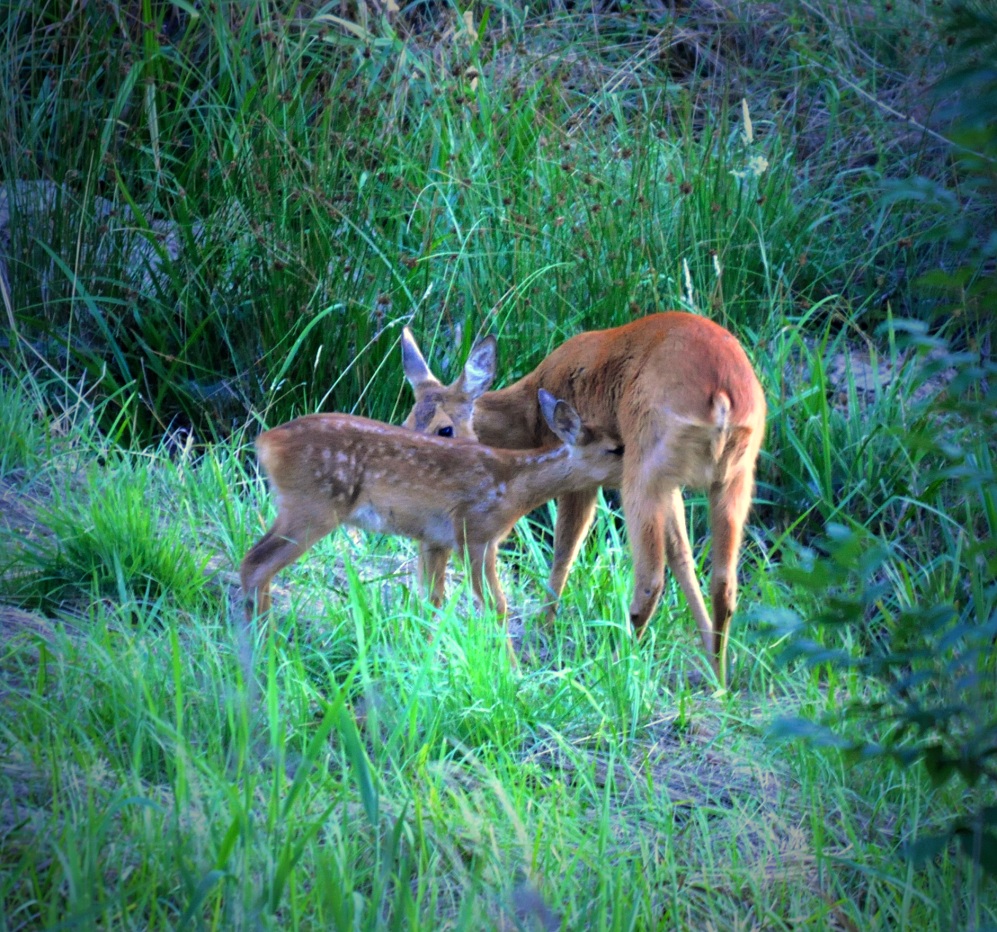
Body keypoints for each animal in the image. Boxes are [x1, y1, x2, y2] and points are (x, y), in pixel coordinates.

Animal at [240, 388, 624, 640]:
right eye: (615, 449)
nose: (635, 465)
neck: (513, 486)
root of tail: (265, 443)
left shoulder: (434, 539)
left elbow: (431, 600)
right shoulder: (475, 532)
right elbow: (496, 605)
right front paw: (514, 676)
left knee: (255, 563)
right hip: (312, 506)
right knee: (256, 563)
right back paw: (264, 641)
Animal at [400, 314, 768, 684]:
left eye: (444, 429)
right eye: (407, 420)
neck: (531, 416)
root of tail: (721, 398)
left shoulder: (579, 468)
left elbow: (565, 548)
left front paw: (544, 628)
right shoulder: (670, 485)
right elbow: (682, 554)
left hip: (645, 467)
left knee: (650, 578)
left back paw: (618, 667)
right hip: (735, 475)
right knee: (724, 582)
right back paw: (719, 675)